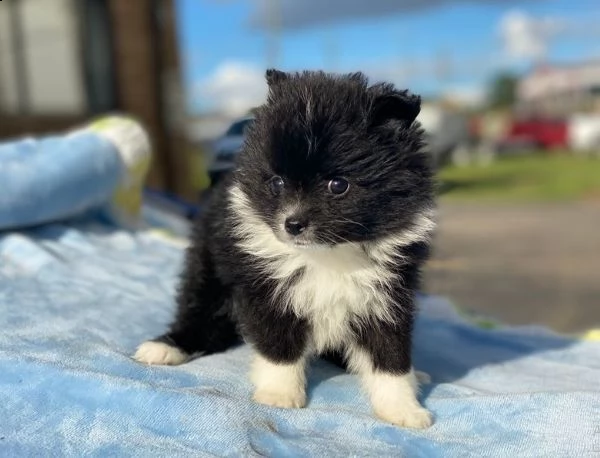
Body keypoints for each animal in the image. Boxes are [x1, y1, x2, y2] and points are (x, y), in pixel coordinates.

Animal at [135, 70, 436, 428]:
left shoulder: (387, 297)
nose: (292, 224)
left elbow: (390, 357)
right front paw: (279, 395)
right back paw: (167, 346)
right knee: (200, 311)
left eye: (338, 185)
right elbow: (280, 344)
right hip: (207, 267)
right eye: (277, 183)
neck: (328, 253)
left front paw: (403, 409)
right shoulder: (266, 288)